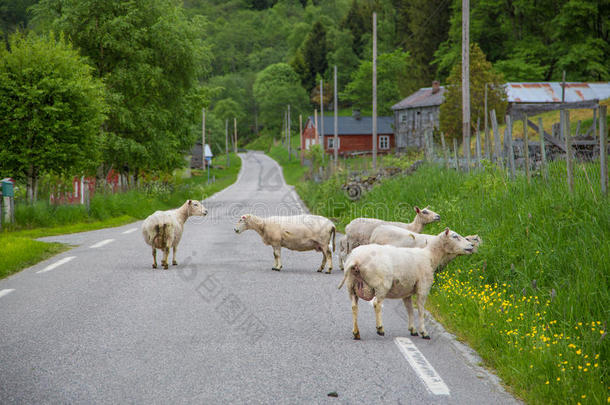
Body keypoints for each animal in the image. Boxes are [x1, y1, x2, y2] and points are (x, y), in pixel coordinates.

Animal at [338, 229, 476, 340]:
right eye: (455, 236)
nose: (471, 245)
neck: (430, 256)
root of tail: (355, 260)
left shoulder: (406, 292)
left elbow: (409, 310)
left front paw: (412, 330)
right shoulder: (423, 288)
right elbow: (420, 310)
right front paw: (424, 332)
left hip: (351, 286)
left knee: (354, 307)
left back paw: (356, 333)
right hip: (381, 284)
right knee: (377, 304)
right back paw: (380, 328)